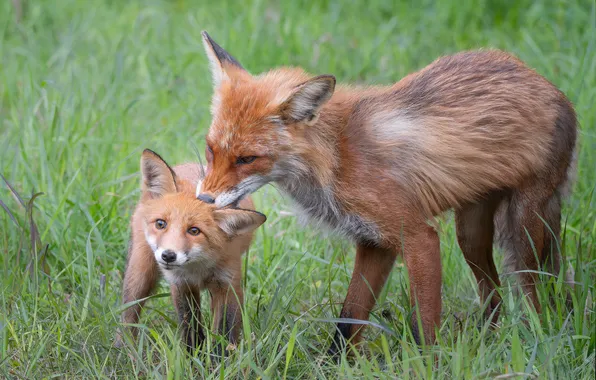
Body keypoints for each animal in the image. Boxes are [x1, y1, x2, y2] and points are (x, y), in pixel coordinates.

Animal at [115, 150, 264, 352]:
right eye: (160, 224)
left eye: (194, 231)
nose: (168, 255)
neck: (198, 268)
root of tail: (189, 164)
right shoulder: (181, 285)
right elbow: (190, 327)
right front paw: (193, 356)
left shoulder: (228, 284)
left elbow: (225, 333)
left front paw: (220, 359)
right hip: (139, 272)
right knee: (128, 314)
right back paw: (123, 349)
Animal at [196, 31, 576, 354]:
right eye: (211, 149)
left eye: (247, 159)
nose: (204, 201)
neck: (336, 156)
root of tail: (546, 83)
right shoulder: (374, 243)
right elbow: (349, 319)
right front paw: (334, 364)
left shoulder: (418, 237)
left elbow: (424, 327)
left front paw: (430, 365)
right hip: (471, 233)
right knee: (493, 296)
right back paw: (488, 340)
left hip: (523, 231)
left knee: (533, 293)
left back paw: (535, 337)